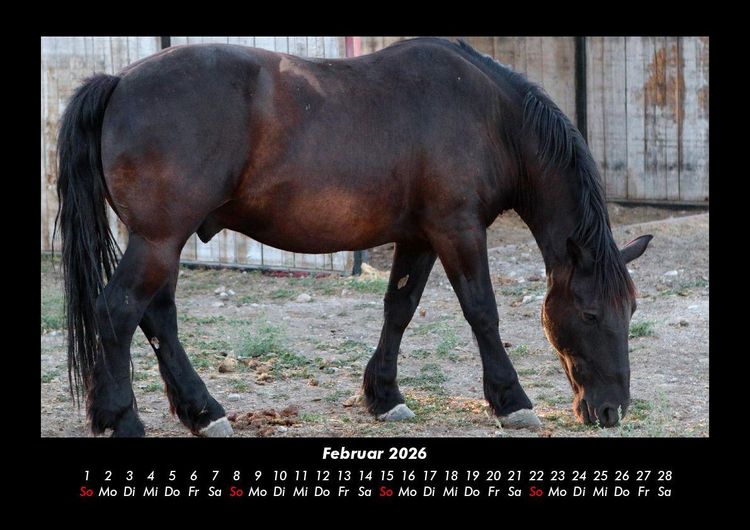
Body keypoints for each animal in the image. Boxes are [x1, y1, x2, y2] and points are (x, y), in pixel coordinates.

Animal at [55, 37, 652, 437]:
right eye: (591, 313)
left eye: (631, 311)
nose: (611, 410)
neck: (490, 117)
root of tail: (118, 82)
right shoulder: (457, 230)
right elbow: (482, 311)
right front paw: (511, 400)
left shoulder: (420, 237)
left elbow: (399, 308)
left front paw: (384, 396)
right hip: (158, 240)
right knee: (118, 312)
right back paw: (123, 419)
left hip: (160, 242)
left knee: (156, 318)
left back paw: (201, 412)